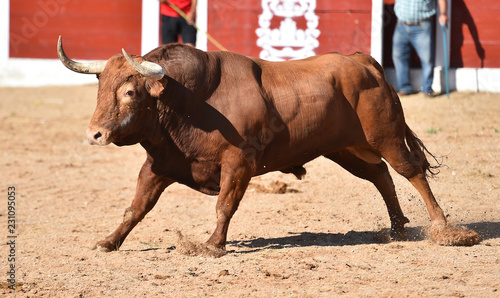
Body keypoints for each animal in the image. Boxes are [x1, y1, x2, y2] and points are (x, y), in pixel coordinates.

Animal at [57, 36, 480, 253]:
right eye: (100, 88)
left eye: (130, 92)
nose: (95, 134)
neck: (190, 100)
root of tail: (365, 61)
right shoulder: (160, 164)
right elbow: (136, 207)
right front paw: (109, 241)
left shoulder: (239, 161)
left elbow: (224, 204)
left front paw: (213, 244)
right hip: (345, 150)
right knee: (380, 176)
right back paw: (396, 227)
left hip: (386, 136)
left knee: (411, 172)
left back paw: (446, 230)